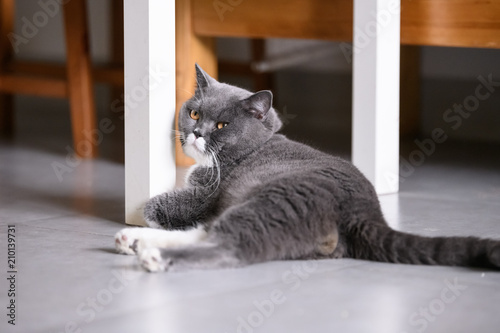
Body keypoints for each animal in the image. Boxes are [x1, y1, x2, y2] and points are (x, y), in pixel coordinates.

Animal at [115, 63, 500, 272]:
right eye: (194, 113)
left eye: (221, 125)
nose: (196, 132)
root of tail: (367, 213)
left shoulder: (207, 193)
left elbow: (162, 206)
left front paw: (148, 211)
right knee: (210, 233)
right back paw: (133, 241)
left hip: (274, 201)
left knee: (227, 246)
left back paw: (152, 254)